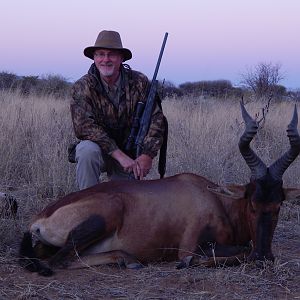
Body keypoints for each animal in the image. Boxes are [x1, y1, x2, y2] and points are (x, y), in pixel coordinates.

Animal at [18, 103, 300, 276]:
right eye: (252, 204)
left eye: (278, 205)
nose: (264, 258)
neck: (214, 198)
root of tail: (39, 218)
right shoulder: (190, 245)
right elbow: (239, 251)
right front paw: (187, 264)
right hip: (106, 214)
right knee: (58, 261)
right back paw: (129, 260)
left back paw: (128, 260)